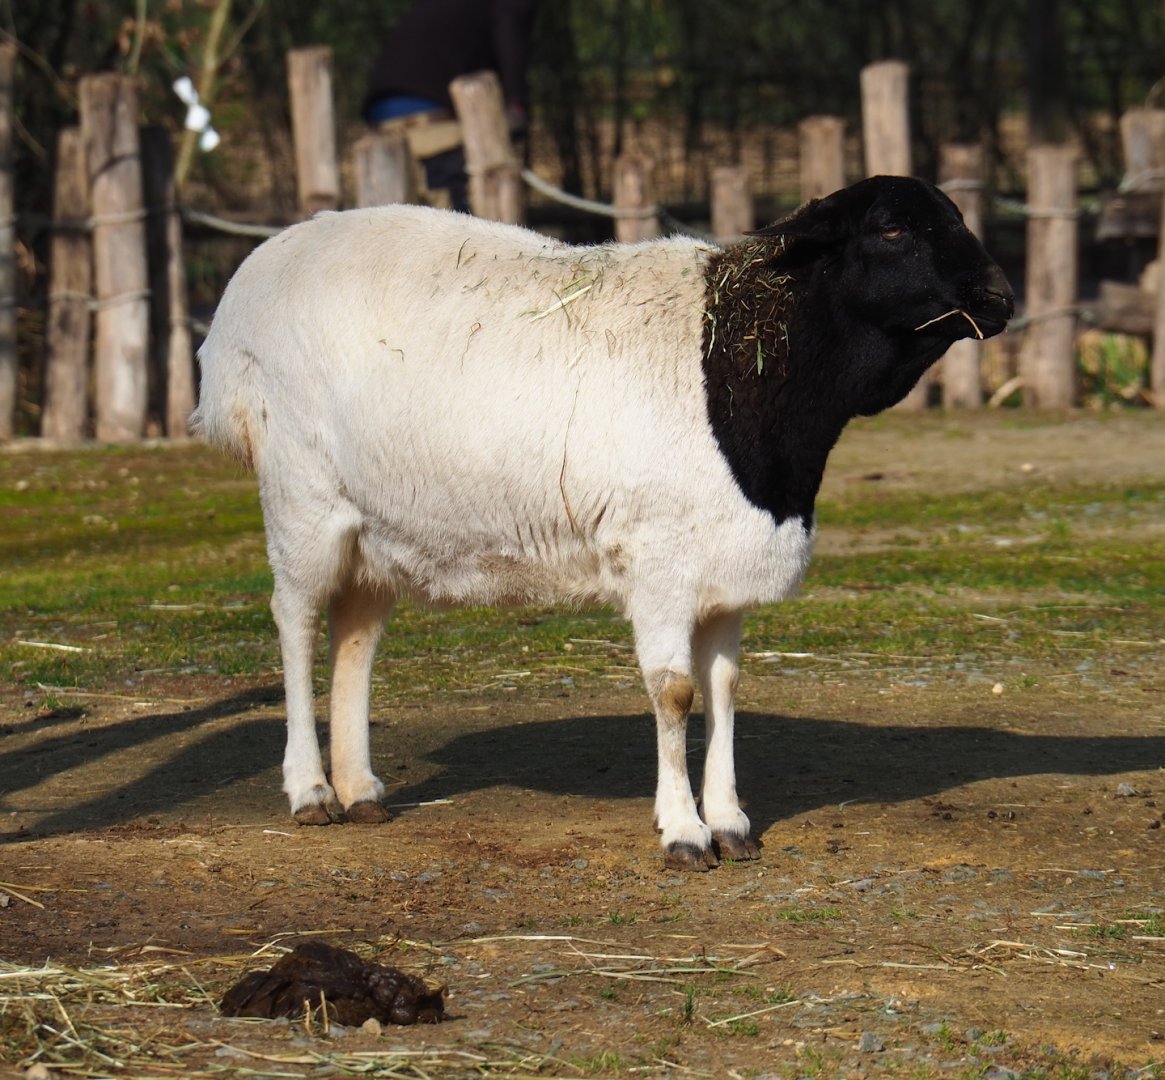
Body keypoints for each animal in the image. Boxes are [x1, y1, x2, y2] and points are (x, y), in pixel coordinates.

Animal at [193, 175, 1013, 871]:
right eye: (892, 228)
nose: (1001, 296)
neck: (740, 361)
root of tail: (241, 293)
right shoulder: (659, 561)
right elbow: (674, 693)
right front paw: (683, 831)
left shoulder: (722, 567)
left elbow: (724, 687)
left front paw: (730, 822)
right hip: (302, 496)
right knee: (296, 621)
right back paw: (310, 790)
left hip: (380, 522)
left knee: (355, 636)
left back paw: (360, 788)